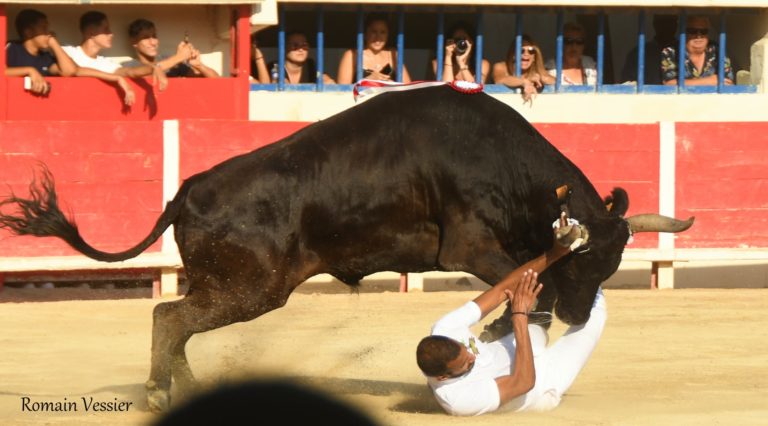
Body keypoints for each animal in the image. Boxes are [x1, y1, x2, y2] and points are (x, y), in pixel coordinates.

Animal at [0, 85, 696, 412]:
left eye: (613, 264)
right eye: (585, 258)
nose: (581, 318)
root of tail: (188, 189)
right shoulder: (470, 245)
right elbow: (531, 277)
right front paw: (515, 318)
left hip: (228, 285)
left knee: (176, 322)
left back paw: (185, 391)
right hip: (254, 288)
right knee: (168, 316)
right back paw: (162, 394)